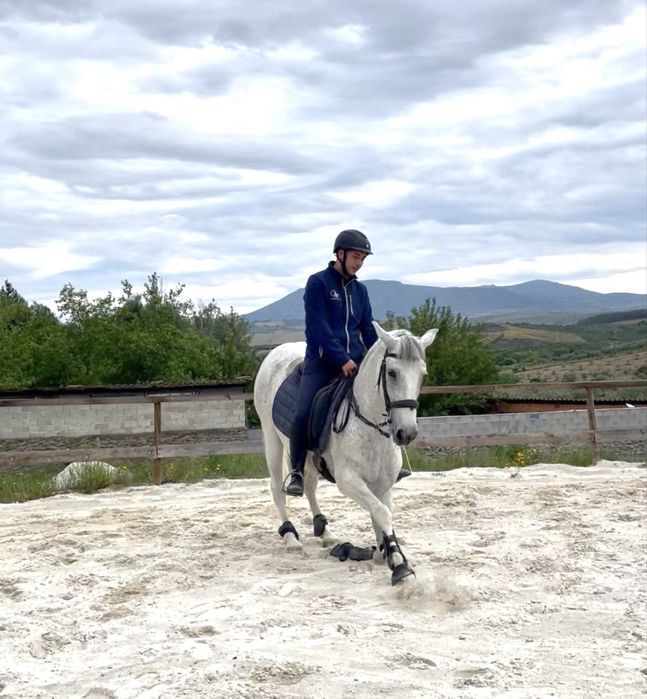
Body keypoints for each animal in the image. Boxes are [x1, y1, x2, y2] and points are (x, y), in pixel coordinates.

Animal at [253, 321, 438, 585]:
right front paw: (399, 565)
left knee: (310, 486)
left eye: (423, 375)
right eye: (392, 373)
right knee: (277, 487)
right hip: (272, 439)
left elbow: (381, 513)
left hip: (308, 456)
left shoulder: (383, 484)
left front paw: (387, 553)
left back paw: (325, 533)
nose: (407, 433)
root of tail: (276, 351)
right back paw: (290, 537)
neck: (370, 428)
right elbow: (381, 512)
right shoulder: (349, 480)